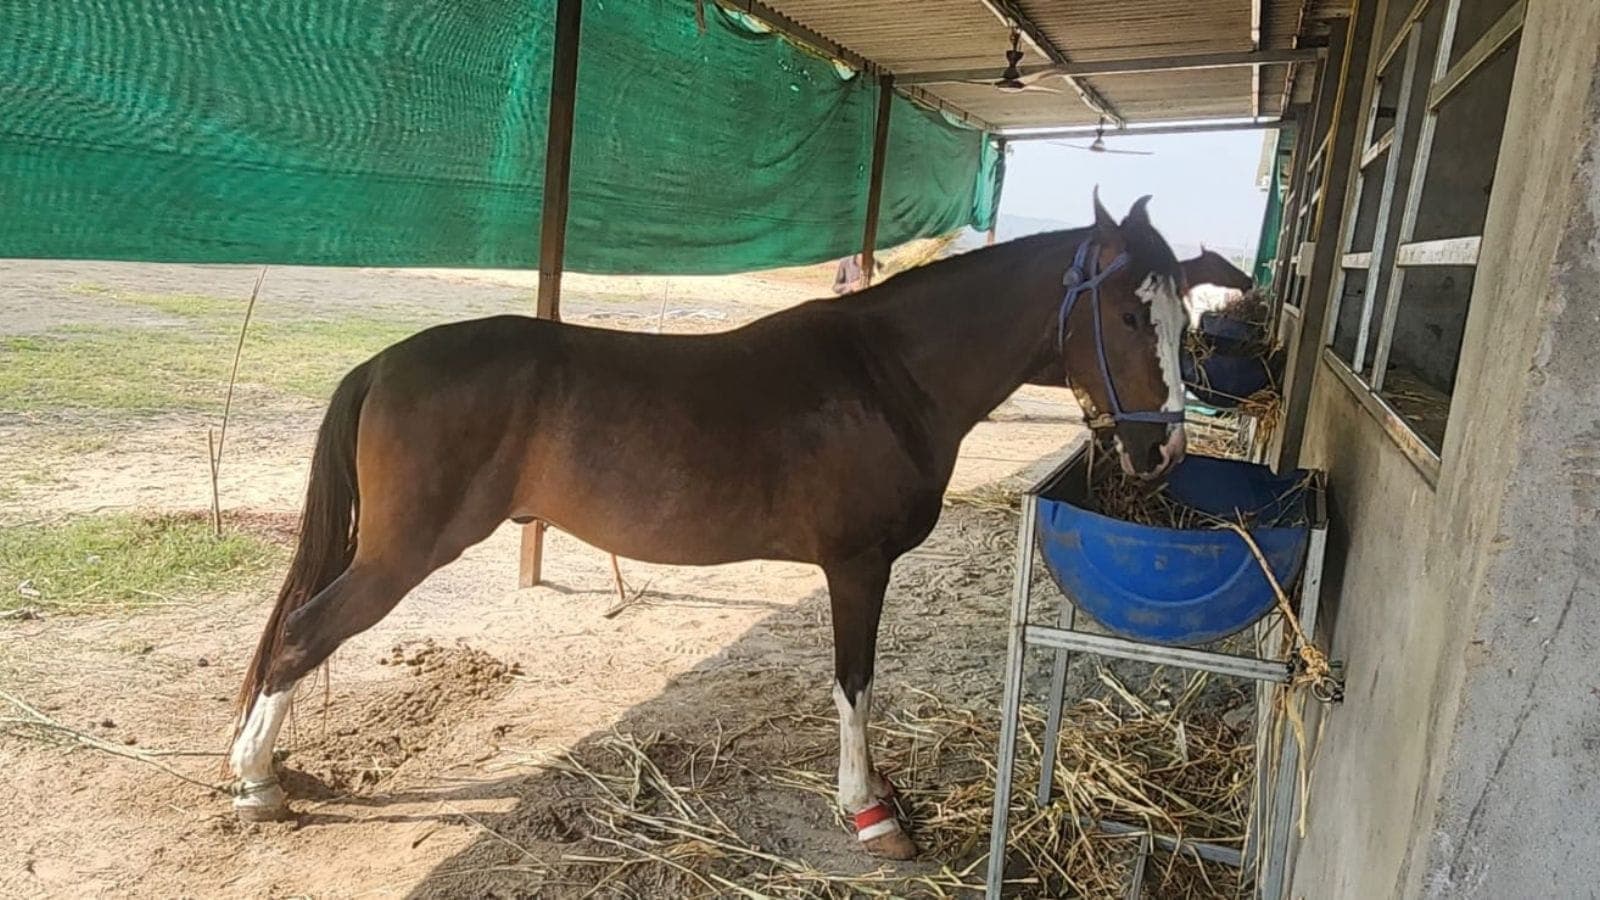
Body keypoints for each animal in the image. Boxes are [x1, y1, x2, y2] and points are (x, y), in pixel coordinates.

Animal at [227, 192, 1188, 861]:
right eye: (1129, 315)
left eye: (1187, 318)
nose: (1162, 452)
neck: (888, 376)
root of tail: (384, 363)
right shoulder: (857, 566)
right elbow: (855, 684)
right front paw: (868, 811)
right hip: (400, 557)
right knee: (301, 634)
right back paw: (257, 785)